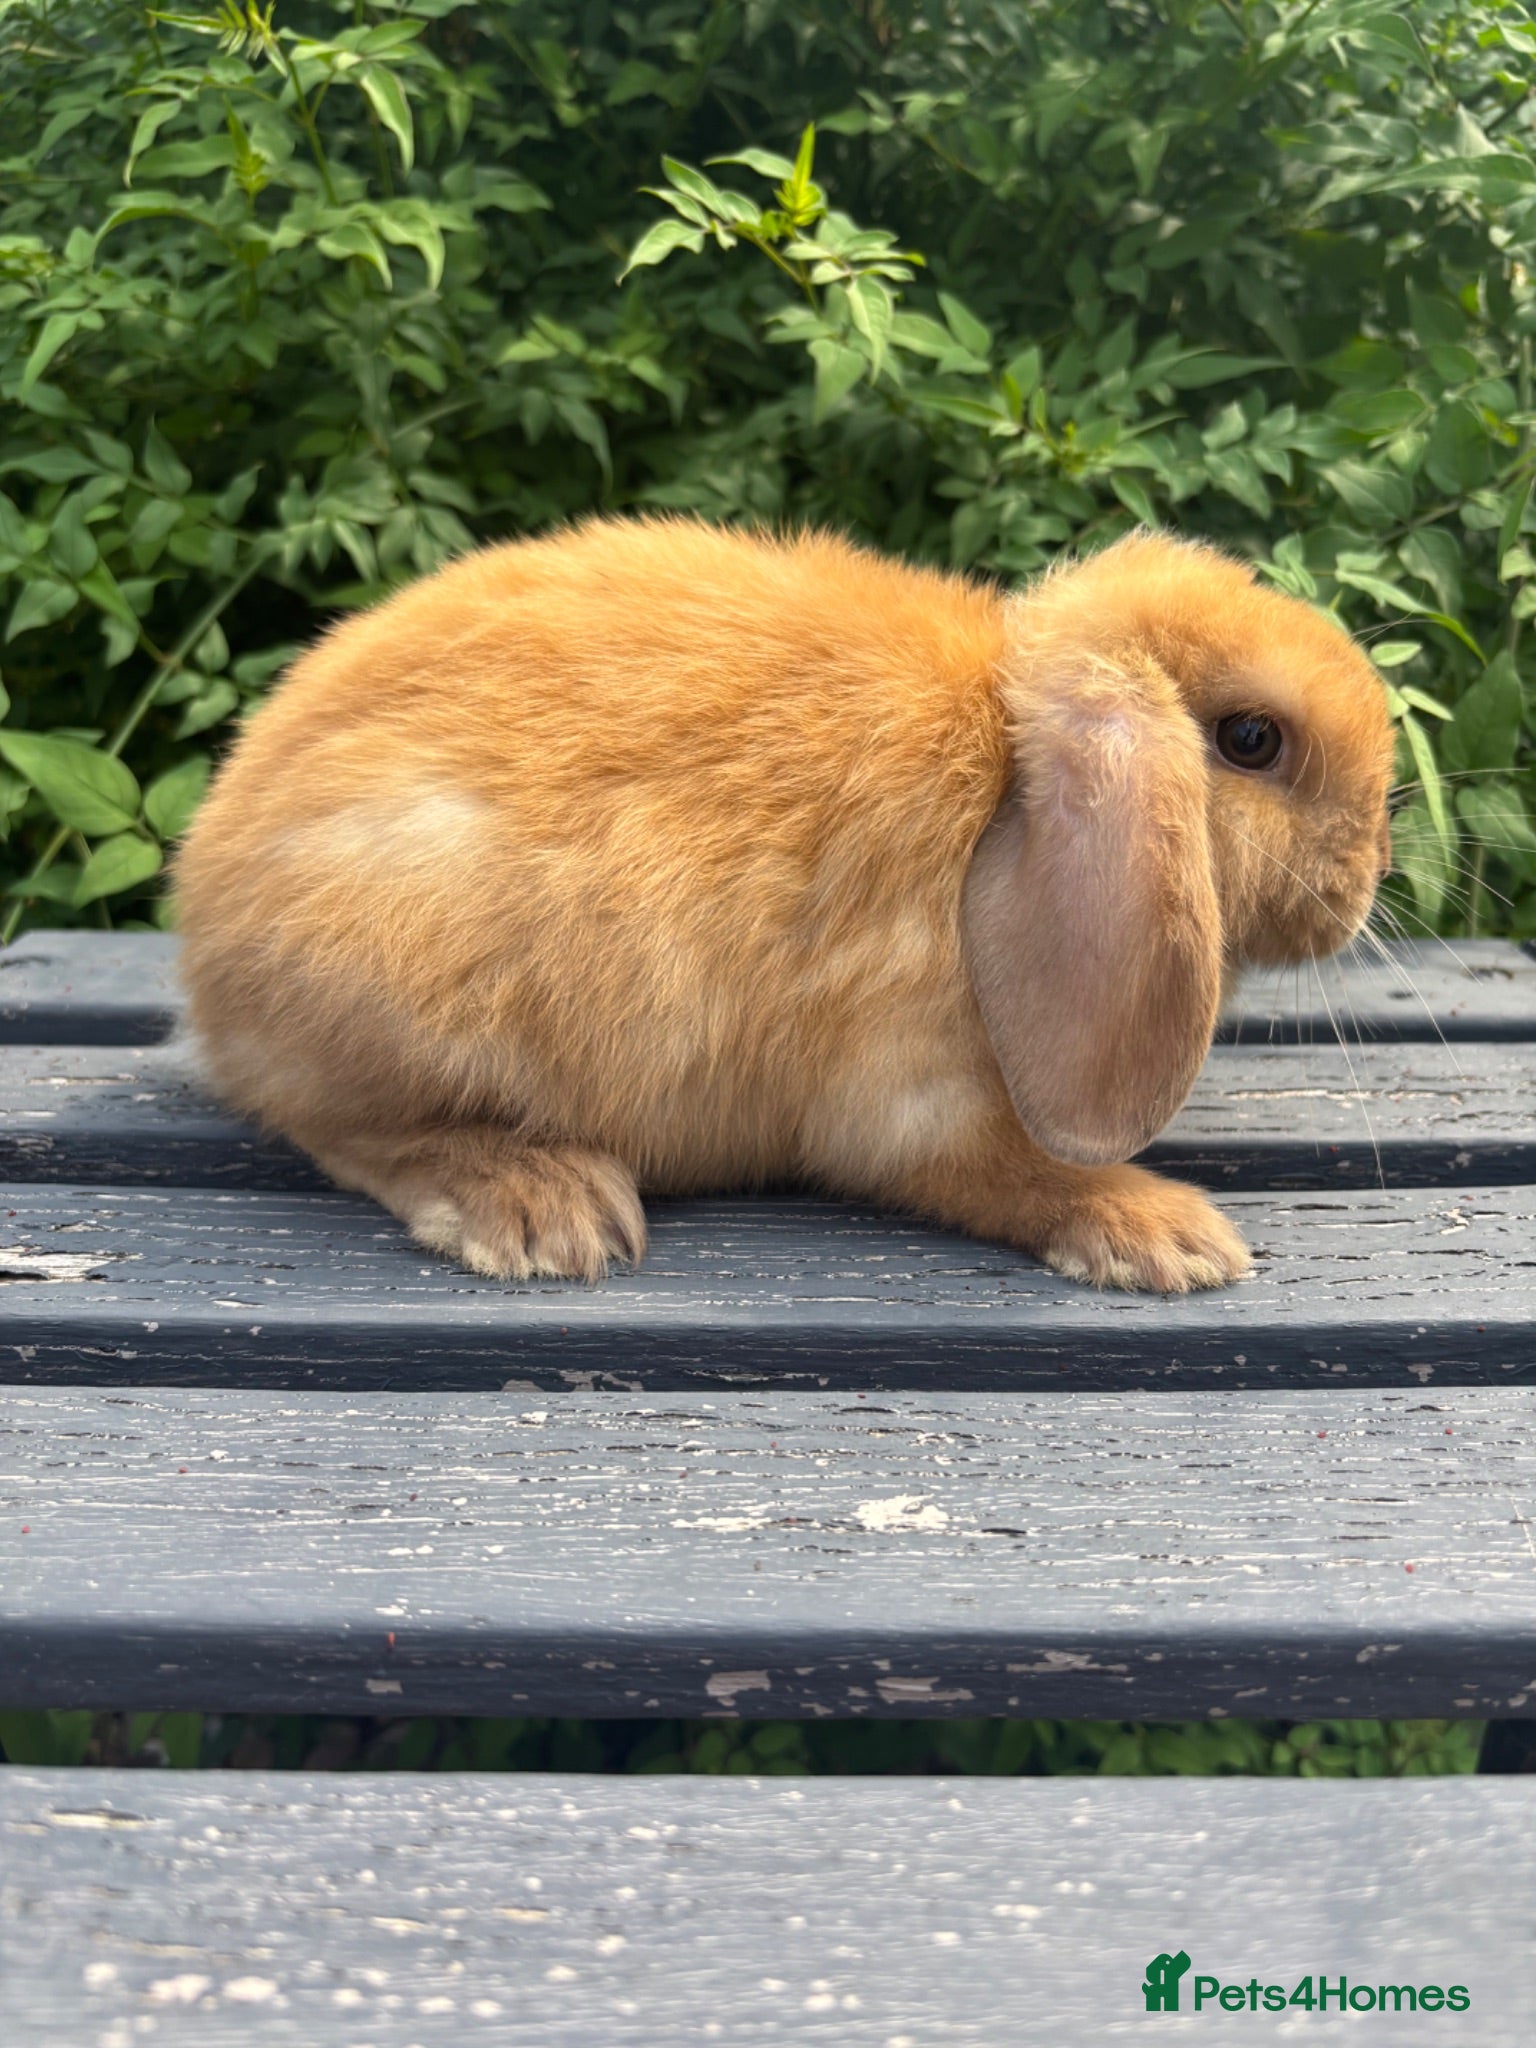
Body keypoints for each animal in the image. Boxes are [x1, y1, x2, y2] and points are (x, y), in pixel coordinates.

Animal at [173, 516, 1394, 1293]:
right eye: (1251, 740)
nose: (1371, 870)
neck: (1004, 786)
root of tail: (204, 924)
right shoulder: (907, 1094)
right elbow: (1010, 1174)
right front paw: (1169, 1236)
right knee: (346, 1131)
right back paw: (535, 1203)